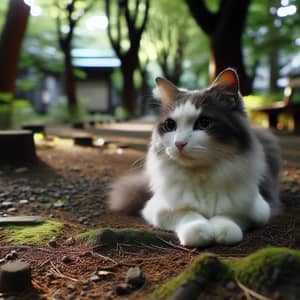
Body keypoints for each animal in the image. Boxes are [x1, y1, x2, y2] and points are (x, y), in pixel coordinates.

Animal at [108, 69, 282, 247]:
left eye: (204, 123)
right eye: (170, 125)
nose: (179, 143)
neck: (201, 175)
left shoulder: (259, 209)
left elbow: (228, 216)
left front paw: (223, 230)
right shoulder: (156, 208)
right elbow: (188, 214)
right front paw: (201, 231)